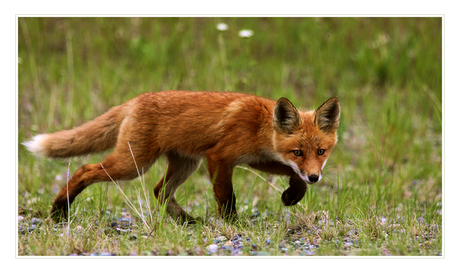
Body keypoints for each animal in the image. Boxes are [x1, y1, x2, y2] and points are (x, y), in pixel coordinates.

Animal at [24, 91, 342, 225]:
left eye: (321, 152)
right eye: (297, 152)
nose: (315, 177)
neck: (258, 126)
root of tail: (136, 99)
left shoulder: (257, 158)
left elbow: (292, 176)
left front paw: (293, 195)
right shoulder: (220, 157)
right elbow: (226, 196)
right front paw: (233, 224)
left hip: (185, 164)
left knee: (159, 190)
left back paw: (187, 220)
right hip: (133, 164)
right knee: (84, 169)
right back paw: (59, 209)